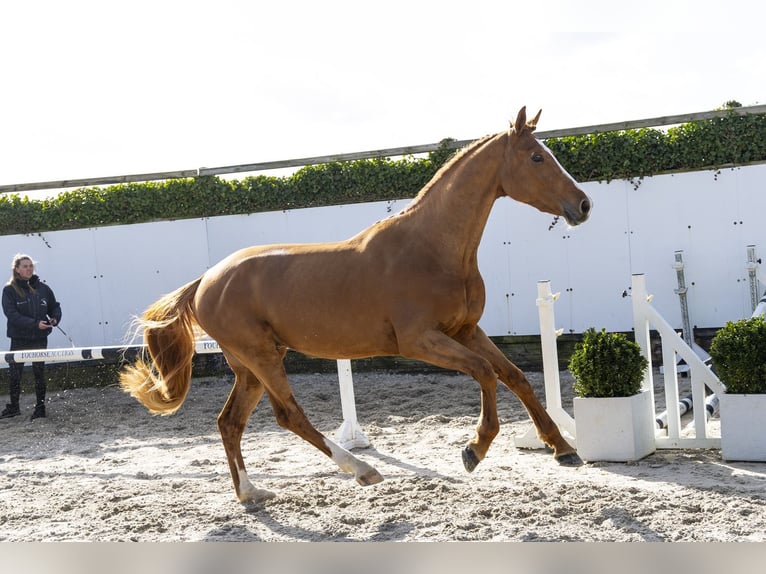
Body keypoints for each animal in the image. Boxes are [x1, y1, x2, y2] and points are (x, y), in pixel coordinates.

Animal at [120, 107, 592, 503]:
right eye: (536, 157)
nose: (583, 205)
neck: (431, 248)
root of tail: (205, 280)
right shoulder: (419, 341)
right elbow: (485, 373)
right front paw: (474, 450)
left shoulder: (466, 330)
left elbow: (516, 377)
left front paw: (563, 448)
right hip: (261, 356)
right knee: (289, 415)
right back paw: (362, 469)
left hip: (249, 365)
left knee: (230, 422)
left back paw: (251, 493)